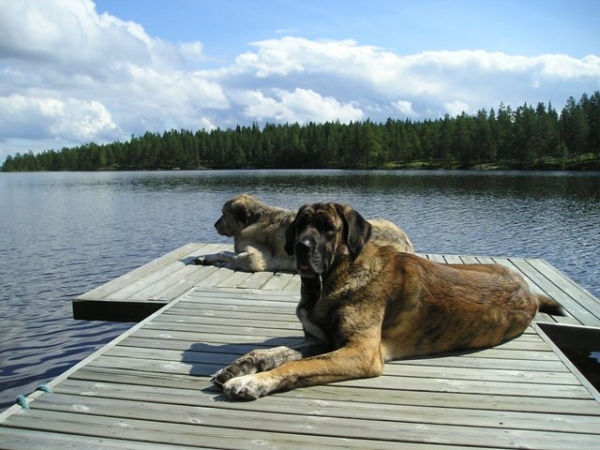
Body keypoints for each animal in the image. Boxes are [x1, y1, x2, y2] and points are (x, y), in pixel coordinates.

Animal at [211, 202, 564, 400]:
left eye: (327, 228)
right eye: (300, 225)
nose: (301, 246)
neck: (330, 281)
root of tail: (528, 289)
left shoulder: (360, 352)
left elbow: (297, 364)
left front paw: (251, 381)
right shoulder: (323, 339)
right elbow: (278, 352)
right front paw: (240, 366)